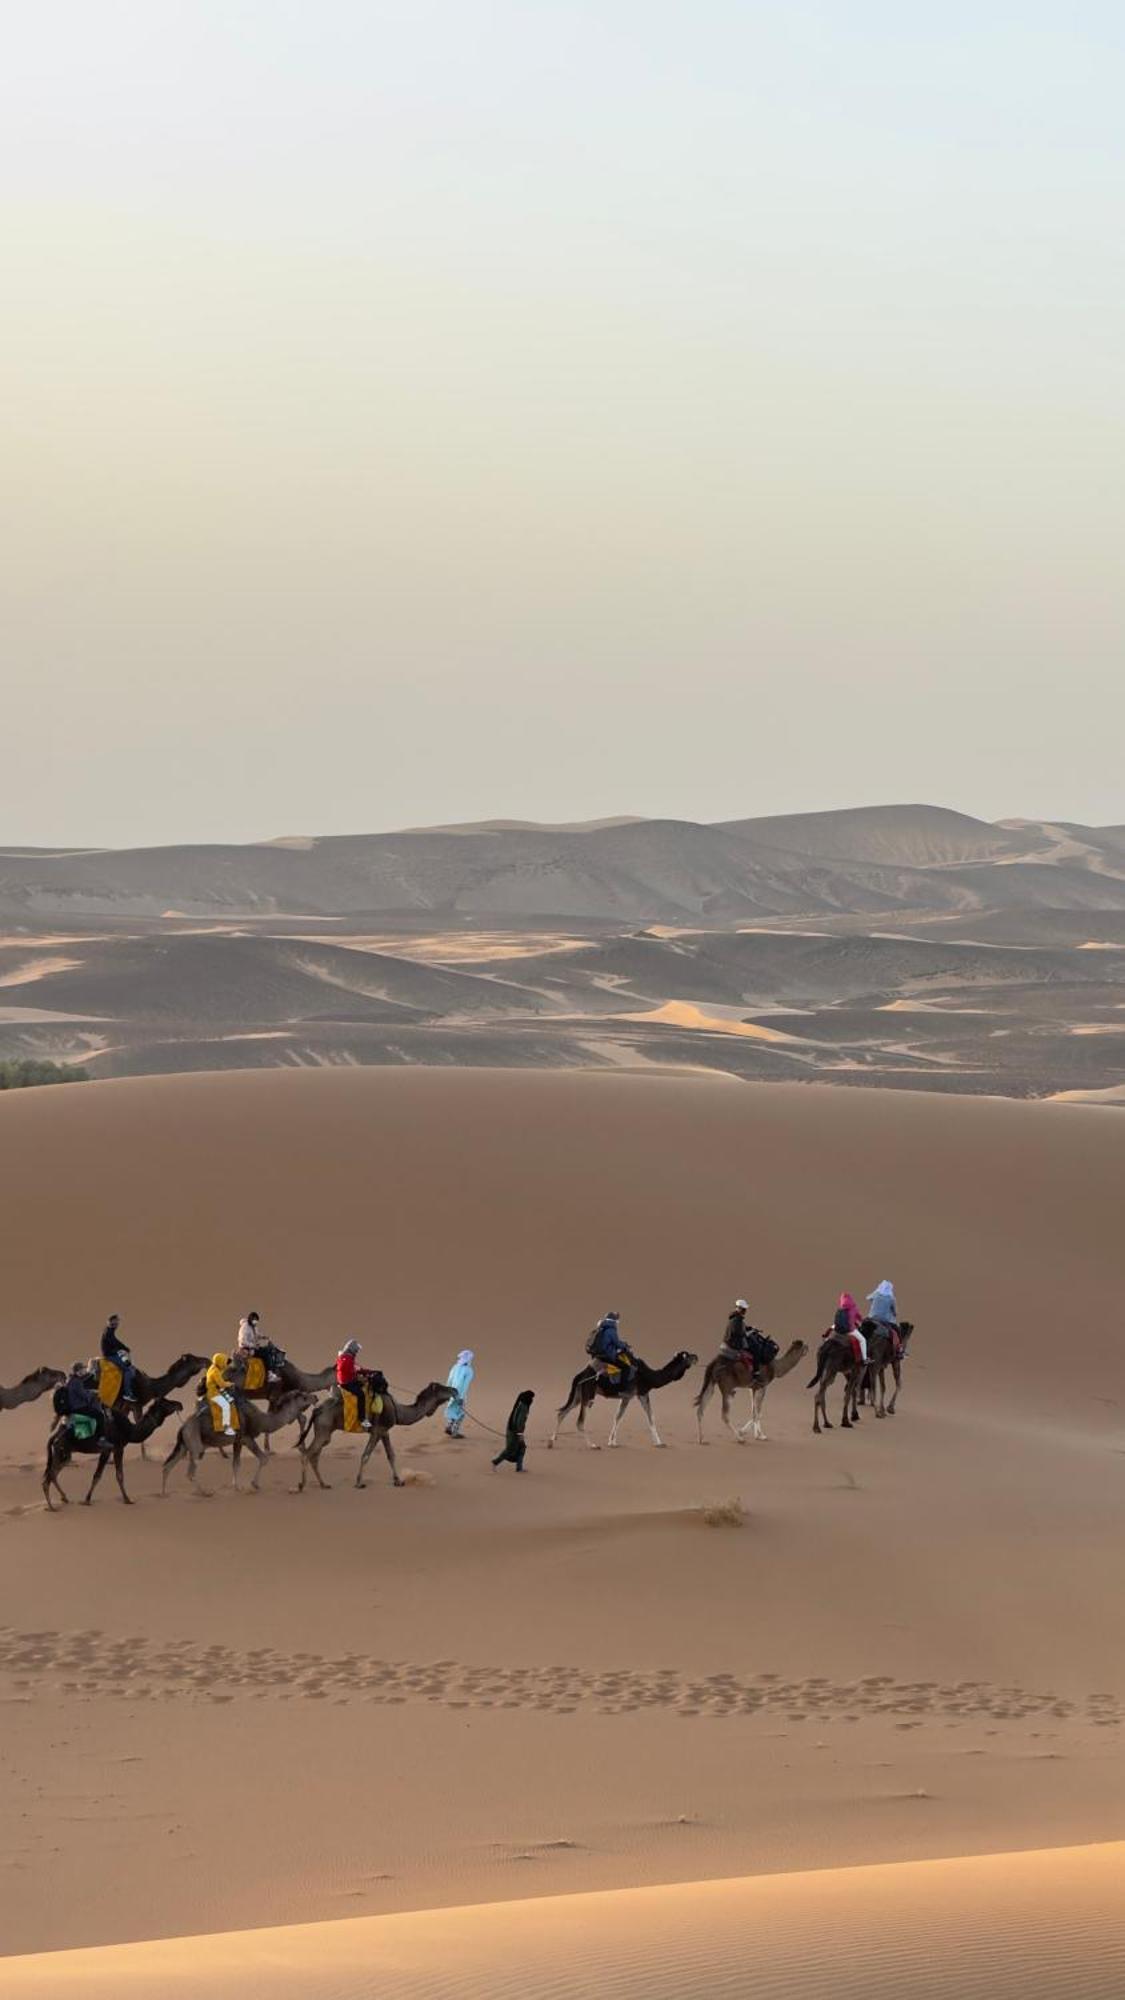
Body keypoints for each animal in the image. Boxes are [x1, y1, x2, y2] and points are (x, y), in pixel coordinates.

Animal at [42, 1400, 182, 1504]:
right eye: (166, 1403)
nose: (179, 1404)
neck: (129, 1431)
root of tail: (55, 1436)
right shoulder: (113, 1448)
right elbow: (107, 1475)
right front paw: (127, 1499)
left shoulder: (113, 1450)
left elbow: (113, 1475)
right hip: (62, 1449)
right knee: (50, 1474)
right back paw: (51, 1505)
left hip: (65, 1452)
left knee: (53, 1473)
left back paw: (64, 1498)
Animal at [160, 1392, 312, 1504]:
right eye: (304, 1397)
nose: (315, 1397)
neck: (261, 1420)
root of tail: (182, 1427)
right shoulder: (246, 1438)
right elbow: (263, 1458)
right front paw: (254, 1484)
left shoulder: (237, 1441)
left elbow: (236, 1464)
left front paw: (237, 1487)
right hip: (195, 1444)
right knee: (190, 1472)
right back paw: (205, 1493)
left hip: (184, 1446)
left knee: (167, 1466)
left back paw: (164, 1493)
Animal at [298, 1384, 456, 1496]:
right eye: (443, 1388)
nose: (454, 1390)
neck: (397, 1410)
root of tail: (317, 1409)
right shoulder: (377, 1430)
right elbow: (366, 1455)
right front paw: (359, 1483)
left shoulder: (384, 1431)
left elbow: (391, 1455)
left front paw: (398, 1481)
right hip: (324, 1429)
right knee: (308, 1453)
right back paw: (301, 1485)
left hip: (325, 1431)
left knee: (314, 1456)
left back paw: (324, 1484)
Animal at [548, 1344, 696, 1456]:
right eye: (687, 1356)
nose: (697, 1357)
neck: (650, 1376)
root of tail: (580, 1374)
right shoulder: (640, 1393)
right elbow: (650, 1416)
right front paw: (659, 1443)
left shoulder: (626, 1396)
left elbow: (618, 1417)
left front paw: (612, 1442)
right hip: (589, 1394)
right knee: (579, 1421)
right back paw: (593, 1445)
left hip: (579, 1394)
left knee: (562, 1413)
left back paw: (551, 1441)